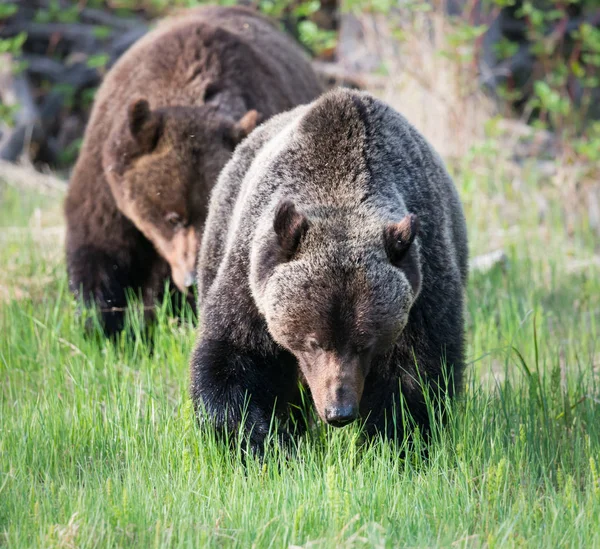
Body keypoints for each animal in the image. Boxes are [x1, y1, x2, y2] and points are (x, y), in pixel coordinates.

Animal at [64, 6, 324, 336]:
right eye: (172, 217)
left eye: (212, 219)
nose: (190, 279)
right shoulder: (105, 178)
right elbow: (99, 247)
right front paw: (102, 325)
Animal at [189, 89, 468, 450]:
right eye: (313, 341)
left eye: (366, 343)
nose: (339, 411)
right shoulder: (250, 279)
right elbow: (233, 360)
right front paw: (265, 441)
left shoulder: (425, 282)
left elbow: (417, 374)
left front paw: (391, 442)